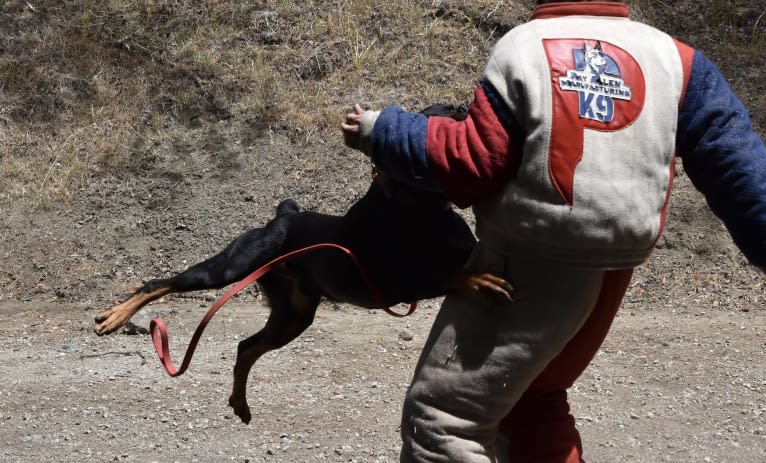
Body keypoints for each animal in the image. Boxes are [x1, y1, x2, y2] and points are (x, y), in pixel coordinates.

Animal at [97, 104, 516, 424]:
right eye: (425, 117)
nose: (461, 106)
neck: (419, 208)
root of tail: (283, 215)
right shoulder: (398, 282)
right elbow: (451, 274)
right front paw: (481, 281)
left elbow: (459, 264)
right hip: (231, 266)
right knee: (158, 283)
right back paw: (114, 317)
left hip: (293, 315)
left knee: (246, 348)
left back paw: (240, 402)